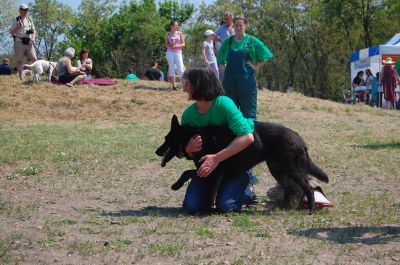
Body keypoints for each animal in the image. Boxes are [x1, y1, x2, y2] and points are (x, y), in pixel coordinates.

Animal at [155, 114, 330, 213]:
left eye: (166, 139)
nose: (156, 151)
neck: (196, 137)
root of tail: (298, 138)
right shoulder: (205, 171)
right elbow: (186, 172)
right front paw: (176, 185)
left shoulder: (214, 173)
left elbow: (210, 194)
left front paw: (205, 210)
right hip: (278, 170)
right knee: (292, 188)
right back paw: (283, 207)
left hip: (290, 169)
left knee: (307, 188)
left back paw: (310, 208)